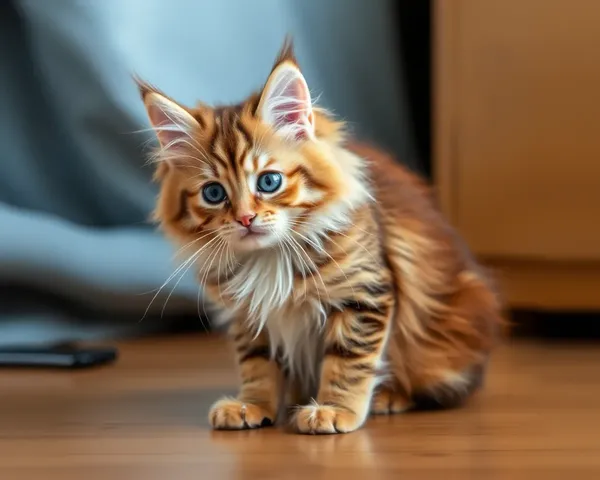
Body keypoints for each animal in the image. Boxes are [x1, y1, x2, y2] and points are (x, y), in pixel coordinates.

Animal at [136, 39, 502, 434]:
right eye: (214, 193)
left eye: (269, 181)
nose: (246, 218)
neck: (269, 259)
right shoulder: (250, 316)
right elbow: (256, 364)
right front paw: (253, 405)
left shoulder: (363, 293)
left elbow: (348, 361)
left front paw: (334, 409)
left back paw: (388, 397)